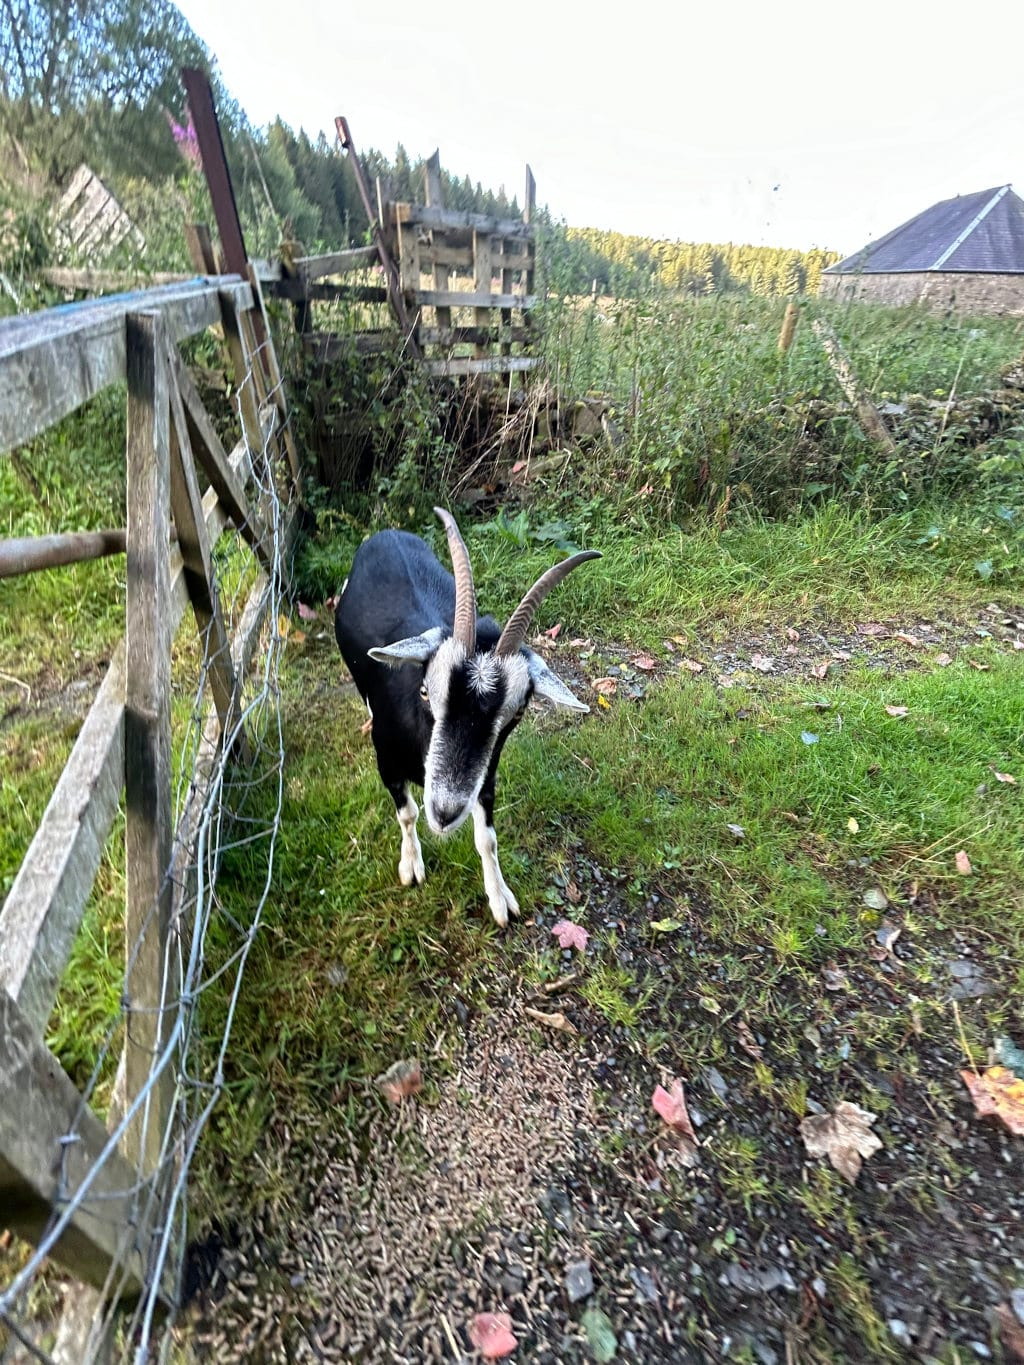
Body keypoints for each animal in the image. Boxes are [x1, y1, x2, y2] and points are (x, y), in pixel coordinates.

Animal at [334, 508, 600, 926]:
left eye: (517, 712)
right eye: (425, 692)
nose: (444, 813)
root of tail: (387, 533)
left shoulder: (484, 776)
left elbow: (486, 838)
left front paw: (500, 897)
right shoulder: (386, 761)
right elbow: (407, 813)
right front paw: (411, 866)